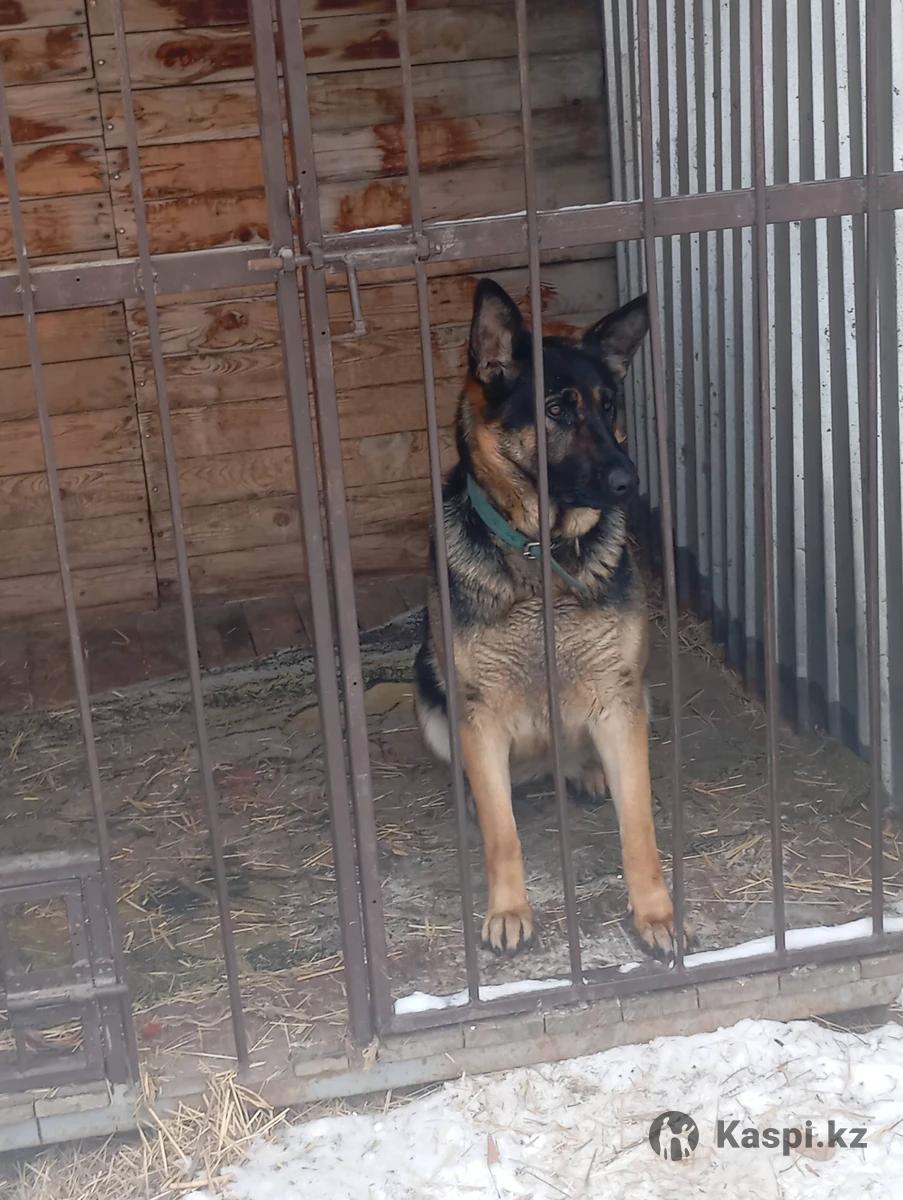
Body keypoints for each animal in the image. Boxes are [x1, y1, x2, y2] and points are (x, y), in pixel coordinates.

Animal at [414, 277, 675, 960]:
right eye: (557, 409)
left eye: (609, 406)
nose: (629, 480)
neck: (541, 555)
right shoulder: (477, 715)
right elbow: (503, 836)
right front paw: (509, 911)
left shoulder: (619, 699)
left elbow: (639, 827)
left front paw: (656, 915)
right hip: (431, 693)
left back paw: (586, 772)